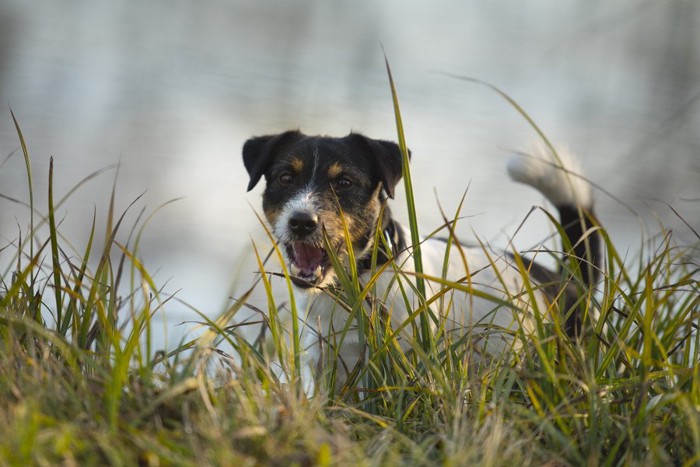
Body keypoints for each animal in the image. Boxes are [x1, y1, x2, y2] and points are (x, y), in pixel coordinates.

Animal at [242, 131, 600, 394]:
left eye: (344, 182)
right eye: (285, 177)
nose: (302, 222)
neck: (359, 285)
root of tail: (564, 282)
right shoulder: (323, 363)